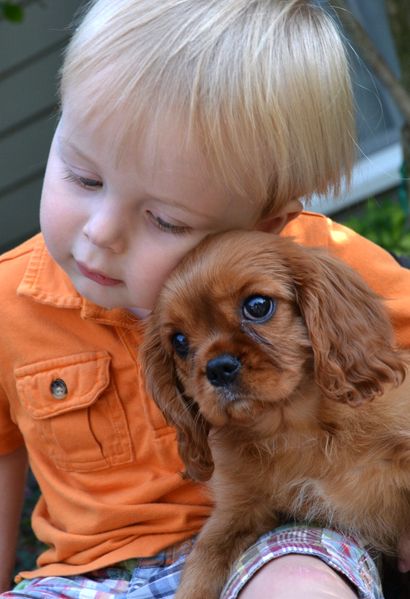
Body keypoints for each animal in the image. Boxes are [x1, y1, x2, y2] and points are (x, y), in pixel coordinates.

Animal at [140, 231, 406, 599]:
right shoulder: (235, 513)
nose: (218, 369)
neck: (292, 426)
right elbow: (202, 565)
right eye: (179, 341)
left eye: (258, 306)